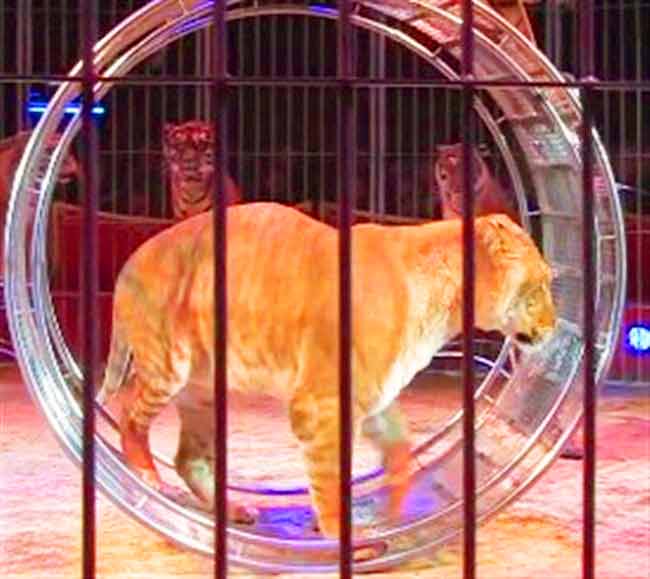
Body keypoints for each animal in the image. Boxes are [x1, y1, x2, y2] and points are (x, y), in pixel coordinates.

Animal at [98, 203, 556, 540]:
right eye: (539, 287)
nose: (555, 326)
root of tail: (128, 262)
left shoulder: (374, 395)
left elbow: (399, 449)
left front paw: (392, 511)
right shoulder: (322, 402)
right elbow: (331, 474)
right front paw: (341, 532)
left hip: (207, 391)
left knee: (188, 458)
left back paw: (234, 510)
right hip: (166, 364)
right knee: (129, 415)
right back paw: (146, 475)